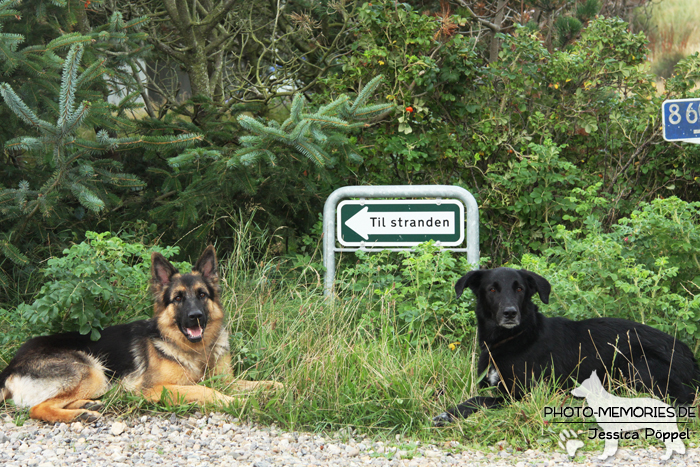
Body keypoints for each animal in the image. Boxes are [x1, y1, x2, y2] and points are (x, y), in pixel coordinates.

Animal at [2, 247, 282, 426]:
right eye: (178, 298)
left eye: (202, 295)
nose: (195, 316)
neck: (194, 351)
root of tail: (10, 367)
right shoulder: (156, 389)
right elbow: (204, 389)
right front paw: (234, 402)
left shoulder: (226, 379)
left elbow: (261, 384)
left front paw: (275, 388)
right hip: (93, 371)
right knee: (37, 408)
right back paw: (78, 415)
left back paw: (89, 407)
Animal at [434, 266, 696, 424]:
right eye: (491, 289)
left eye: (519, 288)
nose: (510, 313)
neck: (515, 338)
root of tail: (691, 358)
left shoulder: (523, 393)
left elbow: (479, 400)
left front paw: (449, 414)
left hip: (638, 364)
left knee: (683, 398)